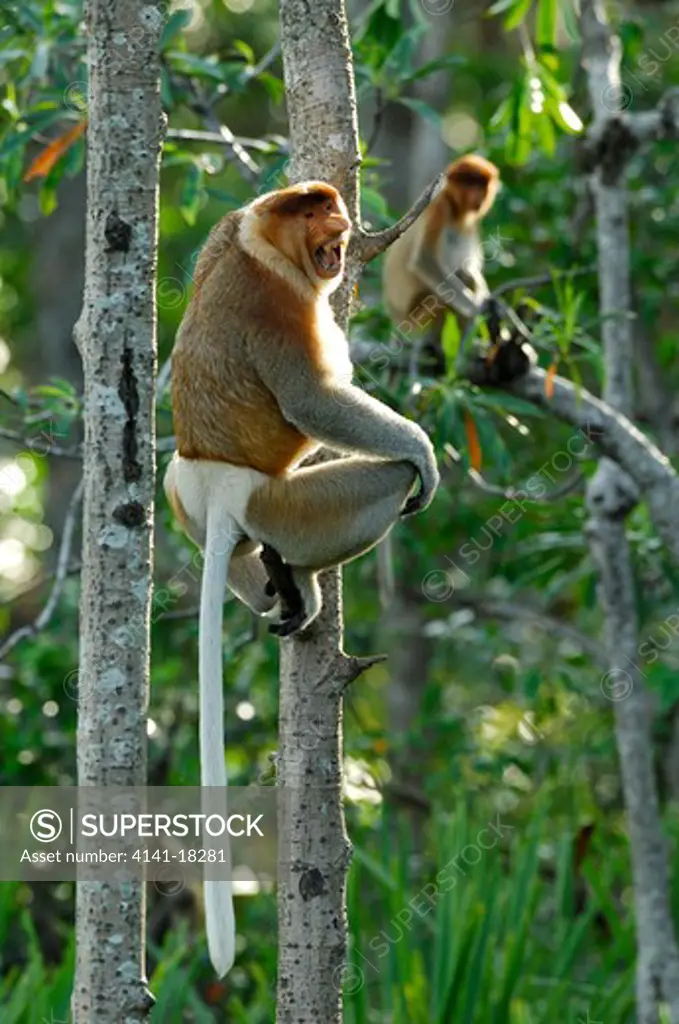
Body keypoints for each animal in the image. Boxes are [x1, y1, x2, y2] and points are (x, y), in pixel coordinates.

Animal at [164, 180, 440, 978]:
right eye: (314, 214)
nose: (337, 227)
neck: (260, 235)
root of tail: (226, 493)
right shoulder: (278, 302)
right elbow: (312, 397)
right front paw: (424, 450)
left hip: (185, 489)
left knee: (173, 490)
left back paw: (278, 591)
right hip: (285, 503)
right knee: (384, 479)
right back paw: (306, 586)